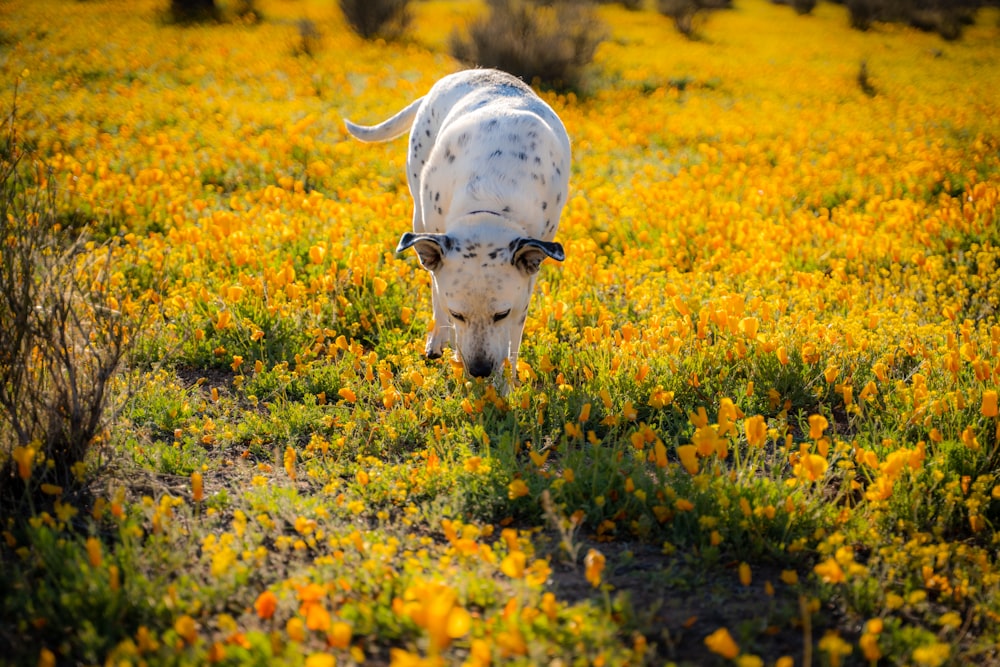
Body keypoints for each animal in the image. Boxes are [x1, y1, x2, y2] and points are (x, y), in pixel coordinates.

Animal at [346, 71, 572, 380]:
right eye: (458, 314)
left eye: (501, 314)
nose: (479, 370)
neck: (490, 199)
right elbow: (441, 301)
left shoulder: (528, 278)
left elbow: (514, 335)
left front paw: (508, 380)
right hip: (419, 211)